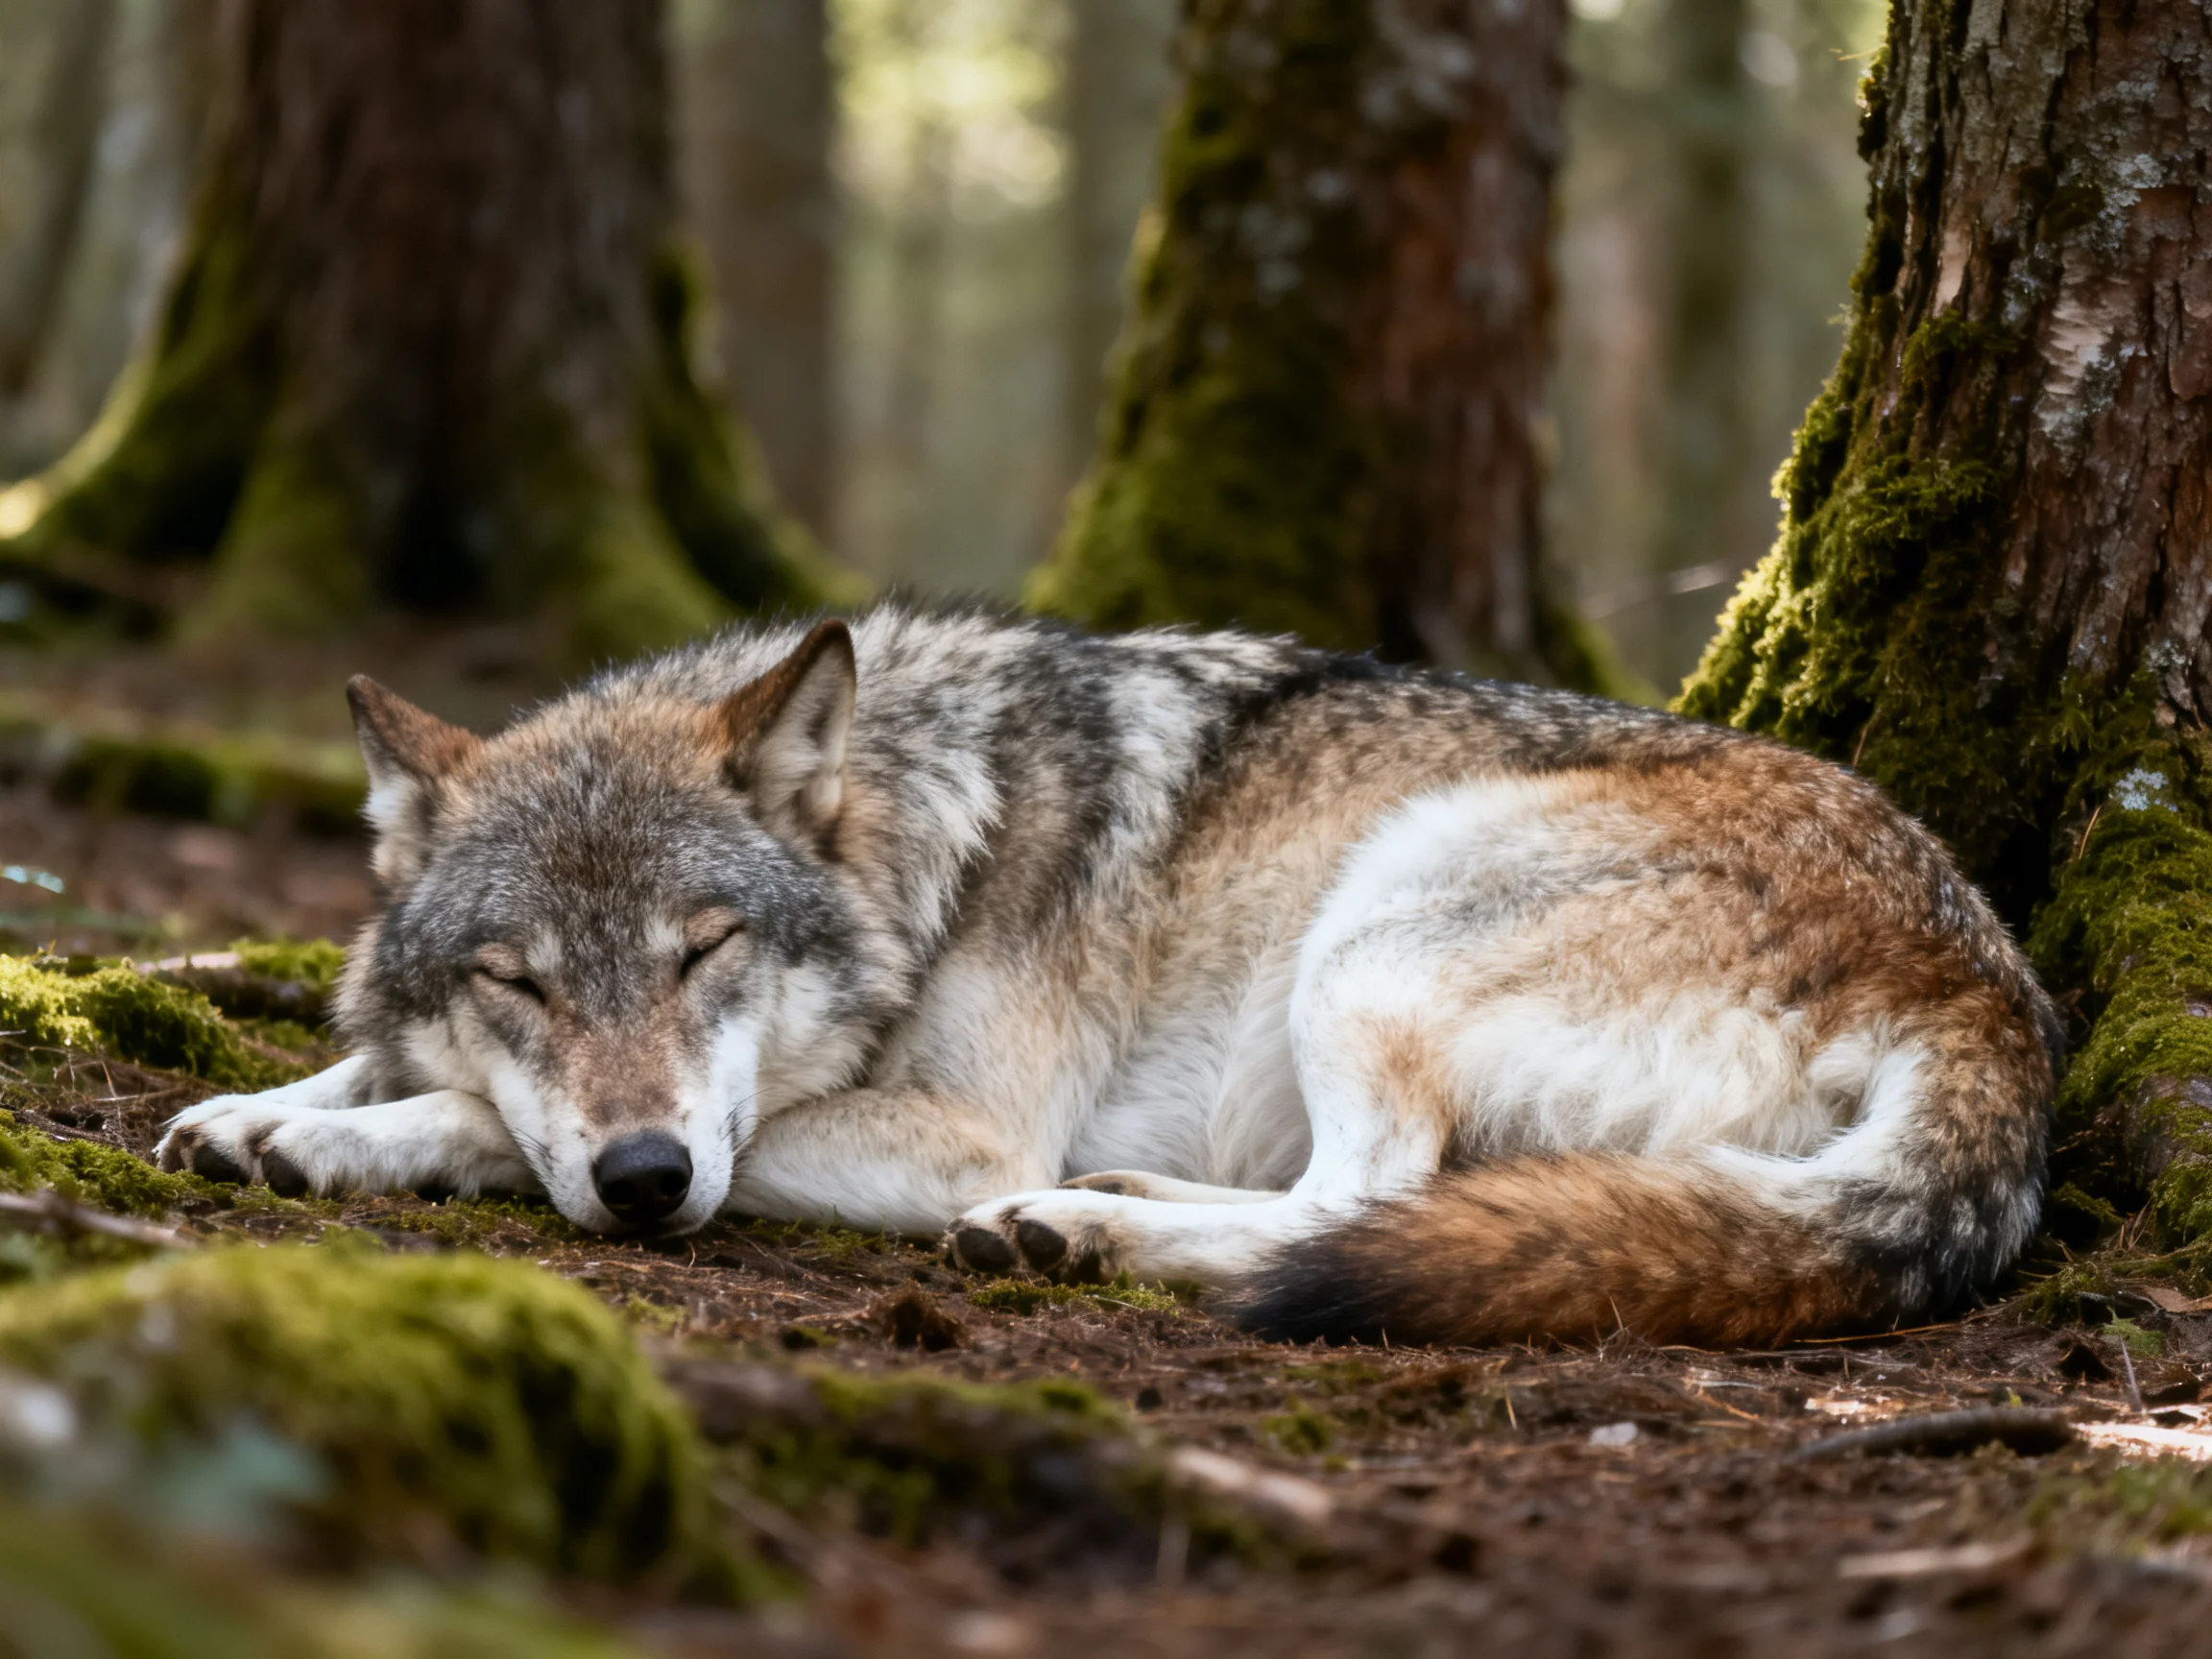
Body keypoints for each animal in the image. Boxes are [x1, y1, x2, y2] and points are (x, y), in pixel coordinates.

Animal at [156, 607, 2059, 1347]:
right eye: (522, 982)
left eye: (704, 950)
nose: (640, 1177)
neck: (927, 848)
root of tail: (1992, 992)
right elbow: (392, 1058)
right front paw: (258, 1103)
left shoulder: (951, 1127)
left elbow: (486, 1123)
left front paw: (352, 1140)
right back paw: (1103, 1210)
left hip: (1382, 921)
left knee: (1358, 1205)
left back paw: (1085, 1226)